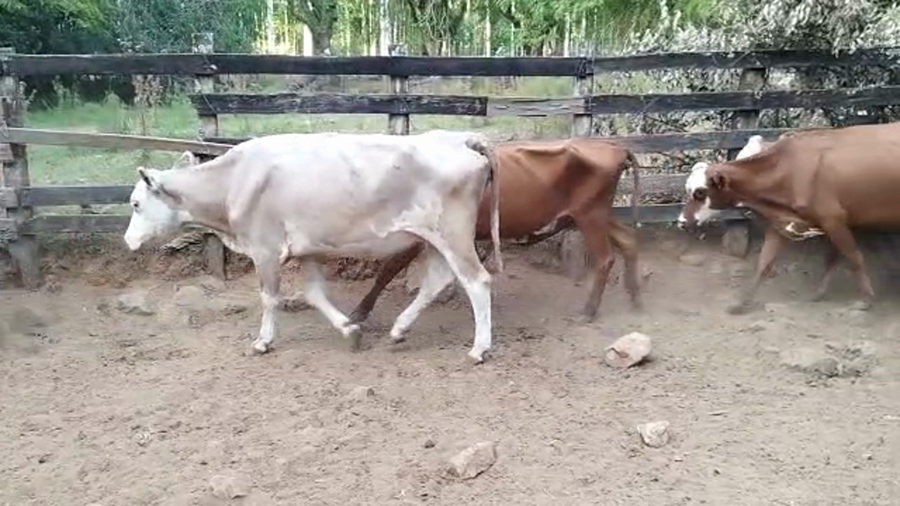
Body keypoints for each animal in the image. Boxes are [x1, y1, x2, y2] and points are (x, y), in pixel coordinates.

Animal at [123, 130, 502, 363]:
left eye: (136, 204)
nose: (128, 240)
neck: (234, 180)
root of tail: (460, 138)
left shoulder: (265, 248)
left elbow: (269, 297)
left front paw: (263, 341)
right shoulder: (309, 249)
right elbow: (315, 293)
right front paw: (350, 330)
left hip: (453, 233)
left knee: (477, 281)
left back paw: (479, 349)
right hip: (433, 238)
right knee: (438, 280)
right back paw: (399, 329)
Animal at [345, 137, 643, 326]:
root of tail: (615, 147)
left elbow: (388, 269)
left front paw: (359, 312)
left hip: (590, 214)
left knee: (605, 258)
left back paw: (589, 311)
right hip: (593, 214)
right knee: (628, 240)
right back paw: (634, 299)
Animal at [677, 123, 900, 314]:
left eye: (699, 192)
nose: (681, 222)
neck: (792, 171)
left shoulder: (834, 220)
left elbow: (854, 258)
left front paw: (866, 299)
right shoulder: (784, 224)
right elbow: (765, 262)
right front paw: (742, 303)